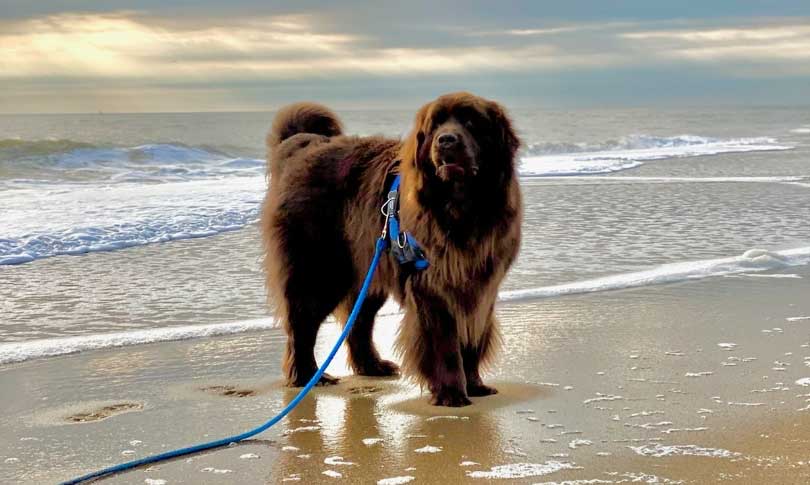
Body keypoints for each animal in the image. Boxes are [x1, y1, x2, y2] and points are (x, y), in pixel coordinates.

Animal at [262, 91, 520, 404]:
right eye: (435, 125)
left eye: (471, 122)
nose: (446, 140)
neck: (461, 210)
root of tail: (300, 146)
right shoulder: (431, 286)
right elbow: (444, 344)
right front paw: (451, 394)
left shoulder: (481, 286)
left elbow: (473, 337)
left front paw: (475, 385)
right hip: (319, 270)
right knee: (302, 325)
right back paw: (308, 376)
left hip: (367, 271)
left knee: (357, 322)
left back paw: (372, 366)